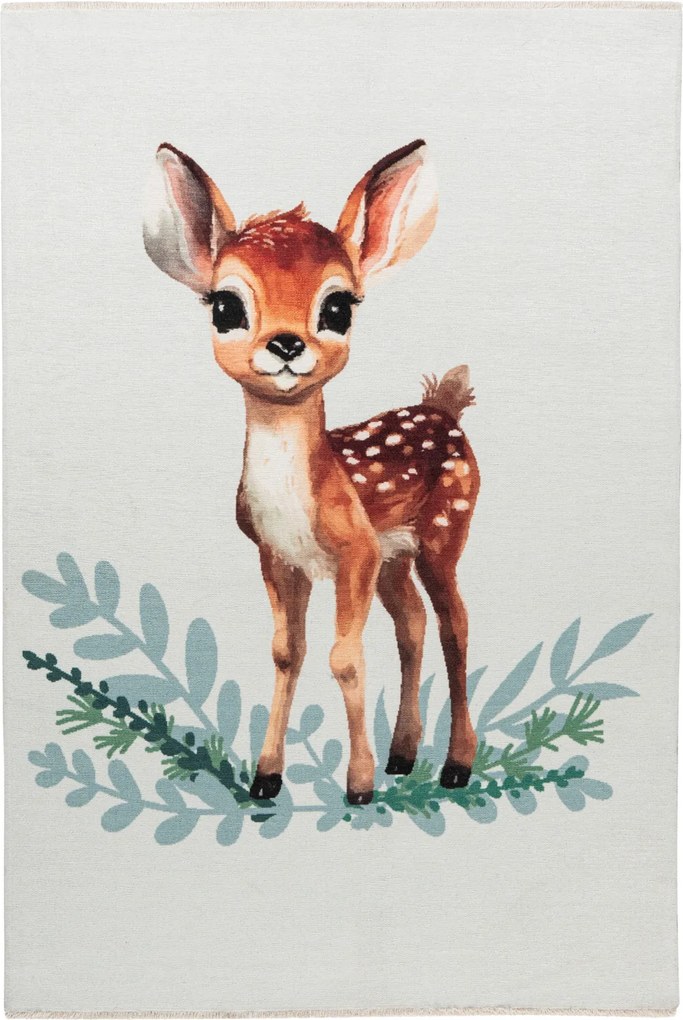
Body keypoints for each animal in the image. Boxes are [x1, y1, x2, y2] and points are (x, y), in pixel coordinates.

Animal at [143, 139, 479, 806]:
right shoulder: (280, 555)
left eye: (338, 306)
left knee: (455, 625)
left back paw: (456, 765)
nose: (285, 344)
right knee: (413, 623)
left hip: (444, 529)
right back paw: (403, 755)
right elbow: (286, 652)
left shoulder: (354, 551)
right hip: (395, 553)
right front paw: (265, 777)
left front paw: (358, 786)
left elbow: (343, 657)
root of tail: (445, 407)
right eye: (225, 305)